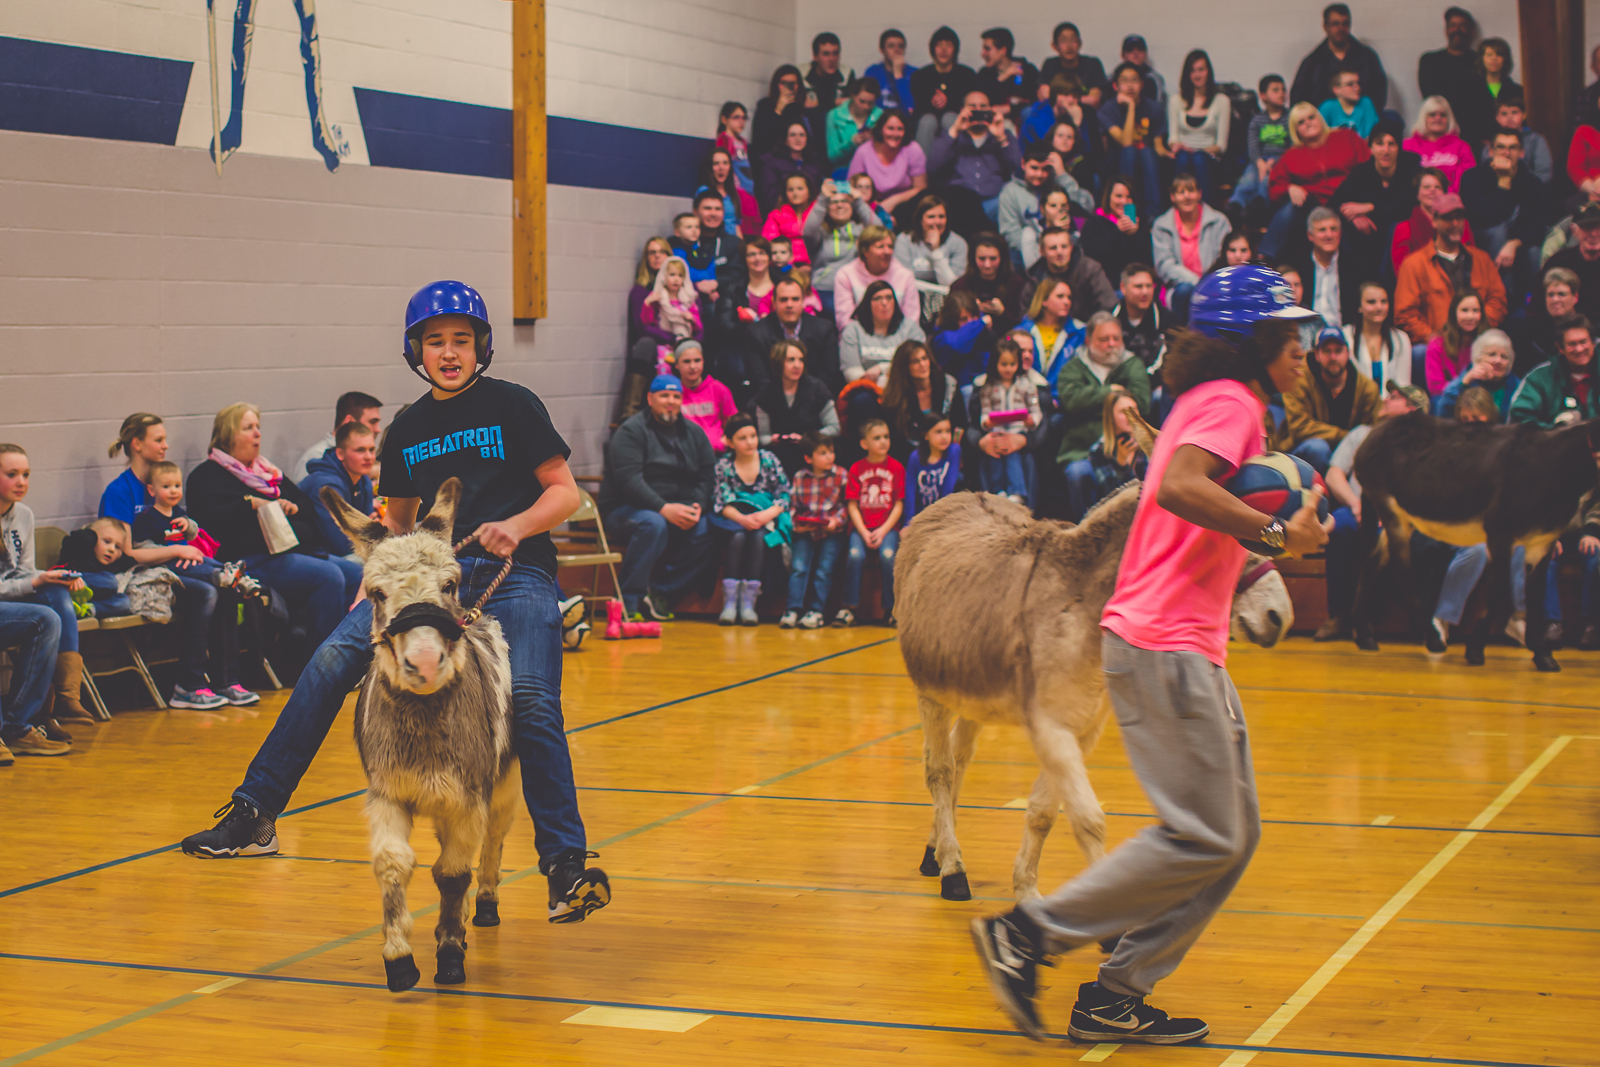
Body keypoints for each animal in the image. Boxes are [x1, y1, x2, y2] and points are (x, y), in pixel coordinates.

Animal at [322, 478, 520, 993]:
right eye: (375, 593)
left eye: (448, 584)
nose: (426, 664)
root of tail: (478, 614)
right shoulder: (389, 793)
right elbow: (393, 864)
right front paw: (399, 957)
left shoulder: (468, 799)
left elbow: (451, 872)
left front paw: (449, 954)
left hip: (505, 782)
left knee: (494, 839)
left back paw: (484, 905)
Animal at [896, 436, 1293, 902]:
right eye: (1226, 535)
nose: (1278, 615)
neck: (1082, 596)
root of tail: (951, 498)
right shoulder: (1052, 728)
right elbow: (1088, 819)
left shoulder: (1082, 730)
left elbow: (1043, 811)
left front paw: (1027, 891)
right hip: (931, 693)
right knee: (939, 770)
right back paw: (951, 867)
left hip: (974, 691)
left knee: (959, 760)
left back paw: (936, 848)